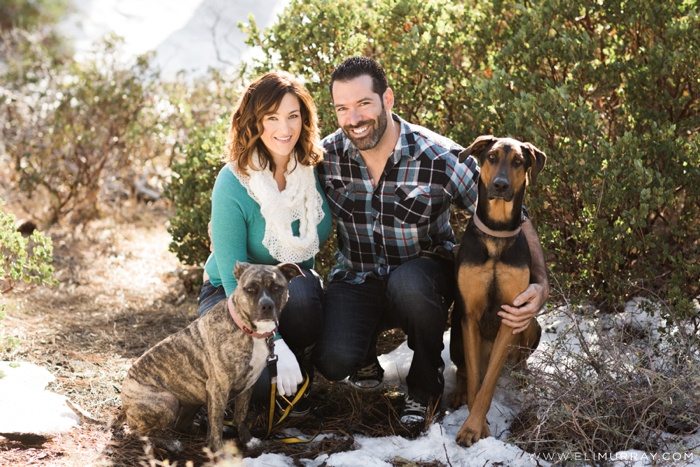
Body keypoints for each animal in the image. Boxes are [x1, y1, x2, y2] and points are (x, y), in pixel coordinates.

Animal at [121, 262, 300, 452]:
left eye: (277, 288)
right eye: (250, 289)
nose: (266, 306)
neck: (250, 331)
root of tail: (124, 400)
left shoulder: (248, 385)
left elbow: (241, 417)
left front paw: (248, 440)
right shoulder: (218, 388)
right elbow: (216, 426)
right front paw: (218, 452)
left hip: (192, 397)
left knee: (181, 424)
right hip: (167, 401)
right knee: (138, 431)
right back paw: (170, 443)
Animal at [448, 134, 548, 446]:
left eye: (517, 162)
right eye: (491, 157)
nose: (501, 185)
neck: (497, 232)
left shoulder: (511, 315)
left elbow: (488, 383)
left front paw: (474, 427)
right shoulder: (469, 317)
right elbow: (475, 380)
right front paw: (473, 426)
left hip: (532, 325)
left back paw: (523, 375)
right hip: (455, 333)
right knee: (463, 370)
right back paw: (458, 392)